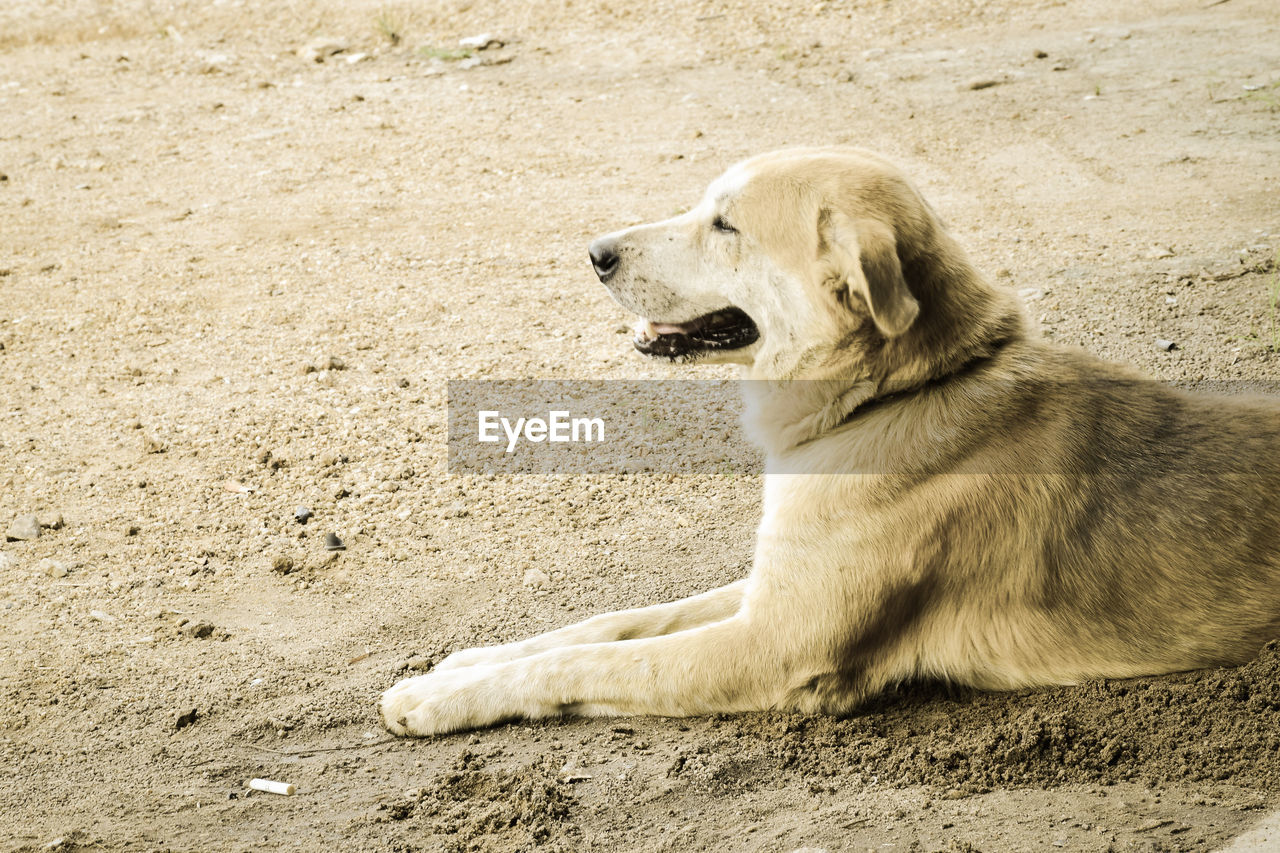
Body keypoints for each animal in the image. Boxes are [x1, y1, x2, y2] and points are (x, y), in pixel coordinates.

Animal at [378, 144, 1280, 732]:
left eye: (726, 226)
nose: (594, 252)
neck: (897, 395)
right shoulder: (768, 589)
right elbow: (609, 623)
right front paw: (466, 662)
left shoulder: (773, 645)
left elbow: (591, 661)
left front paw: (430, 700)